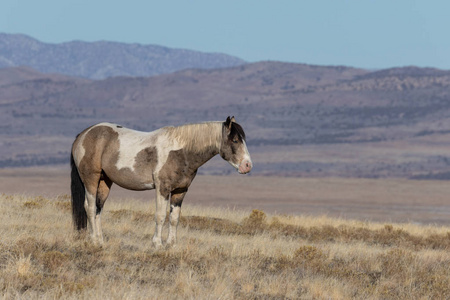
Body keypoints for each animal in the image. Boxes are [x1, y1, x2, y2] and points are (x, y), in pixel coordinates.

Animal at [71, 116, 253, 247]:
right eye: (235, 140)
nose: (247, 165)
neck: (181, 152)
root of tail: (83, 134)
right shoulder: (162, 188)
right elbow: (160, 216)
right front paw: (157, 244)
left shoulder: (180, 191)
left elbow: (174, 218)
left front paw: (171, 245)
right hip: (91, 178)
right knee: (89, 207)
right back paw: (93, 240)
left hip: (104, 182)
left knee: (98, 209)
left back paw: (99, 241)